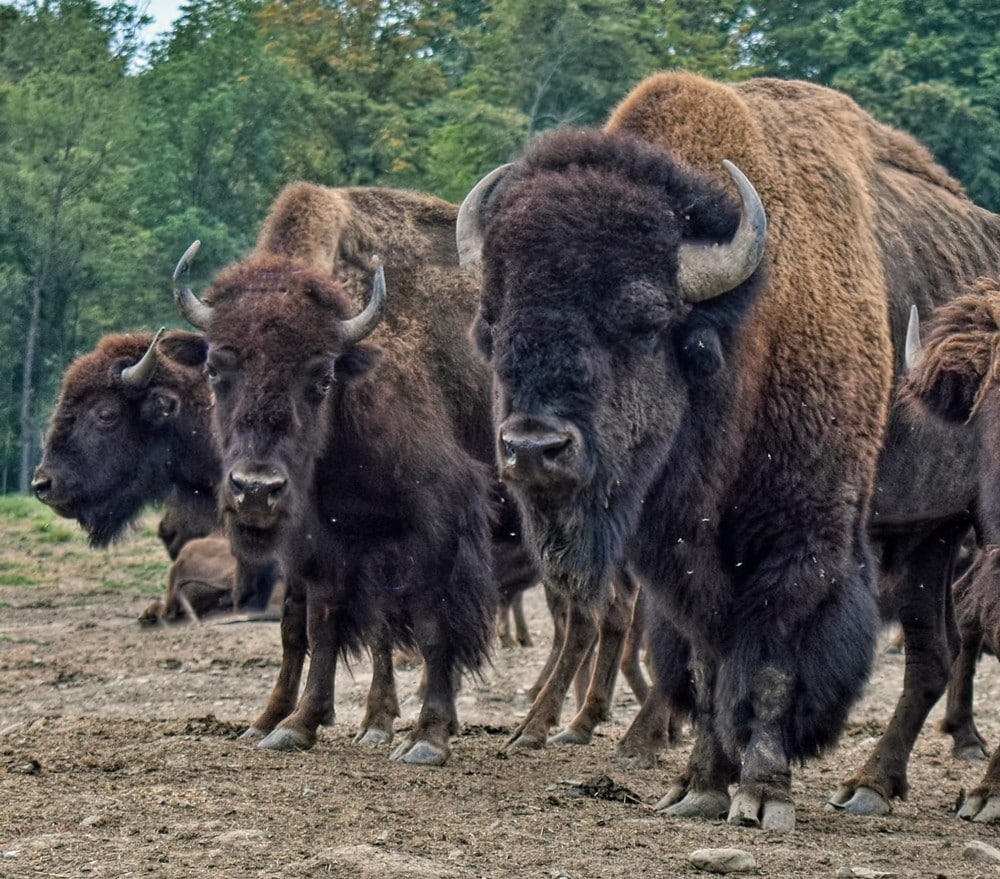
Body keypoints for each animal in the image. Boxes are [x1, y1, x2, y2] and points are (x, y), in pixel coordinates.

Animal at [457, 72, 1000, 829]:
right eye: (493, 319)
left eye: (643, 317)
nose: (534, 447)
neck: (745, 325)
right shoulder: (683, 559)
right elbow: (708, 663)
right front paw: (700, 785)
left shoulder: (803, 535)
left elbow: (772, 658)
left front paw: (764, 792)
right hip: (929, 534)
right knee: (931, 654)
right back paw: (871, 782)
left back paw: (950, 789)